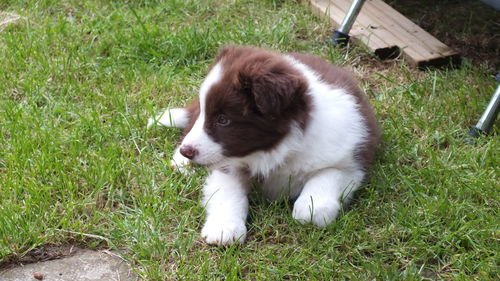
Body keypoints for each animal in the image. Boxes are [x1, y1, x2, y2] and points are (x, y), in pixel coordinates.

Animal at [148, 44, 378, 244]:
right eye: (210, 115)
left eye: (223, 120)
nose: (187, 151)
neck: (278, 150)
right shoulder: (227, 165)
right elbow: (229, 192)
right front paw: (224, 228)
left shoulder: (351, 161)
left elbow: (326, 179)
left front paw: (311, 207)